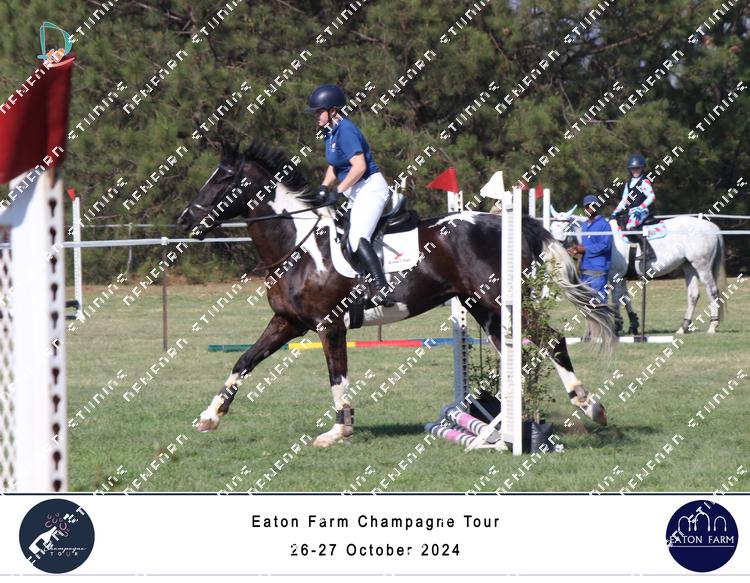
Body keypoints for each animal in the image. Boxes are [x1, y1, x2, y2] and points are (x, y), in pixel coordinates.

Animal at [176, 141, 615, 447]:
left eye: (223, 179)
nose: (184, 220)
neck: (297, 246)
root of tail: (508, 222)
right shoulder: (289, 321)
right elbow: (244, 361)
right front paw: (211, 416)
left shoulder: (329, 326)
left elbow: (337, 377)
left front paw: (338, 431)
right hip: (483, 307)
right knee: (520, 352)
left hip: (496, 301)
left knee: (551, 339)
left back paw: (589, 405)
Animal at [548, 205, 726, 335]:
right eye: (551, 227)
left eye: (565, 227)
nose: (554, 248)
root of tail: (710, 226)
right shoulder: (622, 277)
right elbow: (626, 299)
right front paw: (633, 324)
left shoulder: (615, 276)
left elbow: (617, 299)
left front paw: (618, 326)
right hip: (689, 267)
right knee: (693, 295)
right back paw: (683, 327)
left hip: (702, 267)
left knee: (712, 292)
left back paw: (712, 326)